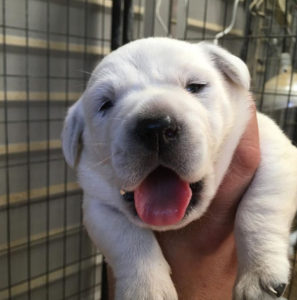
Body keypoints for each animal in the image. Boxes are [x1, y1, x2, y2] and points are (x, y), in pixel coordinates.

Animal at [61, 38, 296, 300]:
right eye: (105, 104)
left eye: (196, 86)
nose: (155, 128)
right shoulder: (96, 204)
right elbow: (126, 238)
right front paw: (146, 288)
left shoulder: (274, 148)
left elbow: (259, 208)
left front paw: (259, 275)